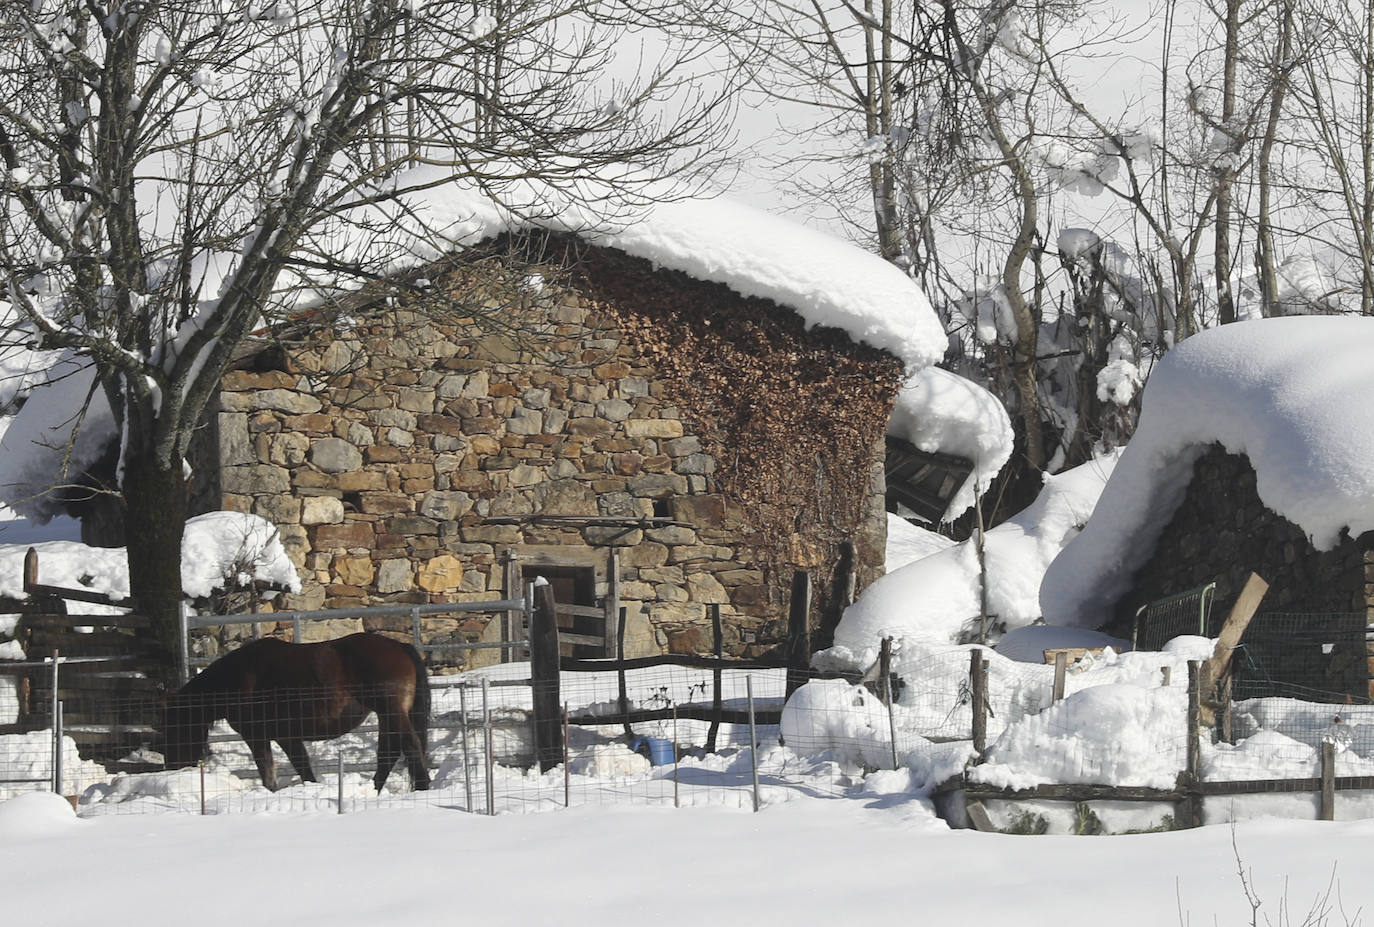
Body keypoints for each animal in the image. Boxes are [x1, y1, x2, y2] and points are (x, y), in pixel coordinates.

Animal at [159, 634, 428, 796]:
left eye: (172, 728)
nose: (172, 767)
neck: (234, 679)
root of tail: (399, 646)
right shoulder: (286, 737)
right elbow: (303, 767)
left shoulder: (256, 737)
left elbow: (268, 772)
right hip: (388, 715)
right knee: (389, 754)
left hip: (391, 712)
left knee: (409, 748)